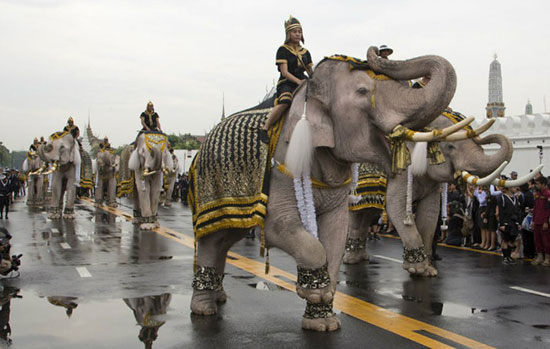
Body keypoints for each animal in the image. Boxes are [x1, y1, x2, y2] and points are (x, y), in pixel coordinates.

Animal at [188, 47, 460, 332]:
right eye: (362, 91)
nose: (378, 50)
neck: (309, 92)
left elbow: (336, 230)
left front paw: (324, 322)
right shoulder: (283, 165)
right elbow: (278, 226)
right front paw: (316, 293)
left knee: (224, 238)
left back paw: (218, 297)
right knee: (211, 241)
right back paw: (204, 309)